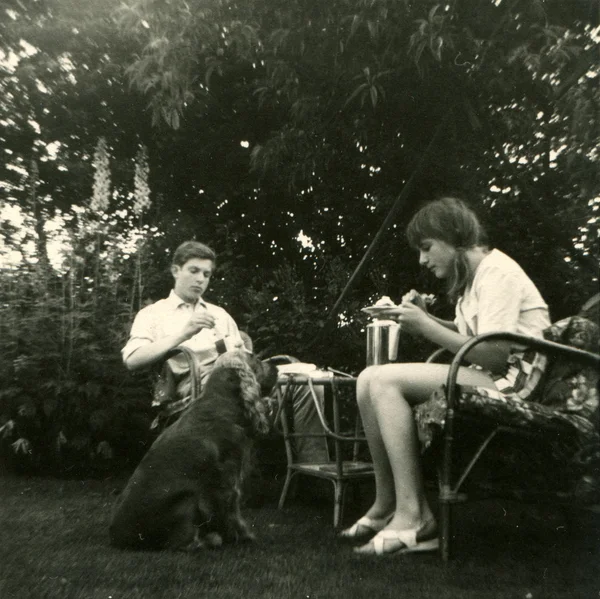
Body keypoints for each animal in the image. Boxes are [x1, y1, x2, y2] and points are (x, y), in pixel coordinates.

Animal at [109, 352, 278, 552]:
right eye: (254, 358)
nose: (277, 368)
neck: (221, 400)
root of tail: (117, 539)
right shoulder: (227, 479)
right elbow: (232, 513)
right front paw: (242, 537)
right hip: (187, 501)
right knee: (182, 545)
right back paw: (210, 540)